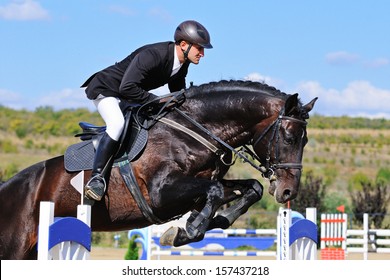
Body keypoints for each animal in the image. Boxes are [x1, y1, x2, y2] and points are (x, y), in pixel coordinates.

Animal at [0, 80, 316, 260]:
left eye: (305, 140)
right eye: (289, 137)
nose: (288, 191)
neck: (194, 131)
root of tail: (8, 188)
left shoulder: (198, 186)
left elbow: (251, 188)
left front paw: (216, 221)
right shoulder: (161, 195)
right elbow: (214, 192)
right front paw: (187, 230)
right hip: (14, 249)